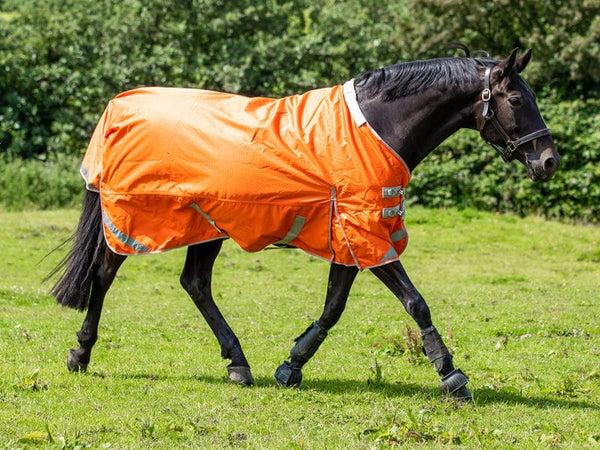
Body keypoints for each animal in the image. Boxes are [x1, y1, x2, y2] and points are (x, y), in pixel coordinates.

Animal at [49, 49, 560, 400]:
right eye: (517, 98)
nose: (549, 161)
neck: (377, 128)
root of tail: (119, 106)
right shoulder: (367, 236)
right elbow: (416, 303)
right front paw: (452, 376)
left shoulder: (352, 239)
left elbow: (333, 307)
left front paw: (291, 366)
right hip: (134, 222)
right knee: (103, 276)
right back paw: (81, 354)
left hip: (208, 227)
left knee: (195, 283)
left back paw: (238, 364)